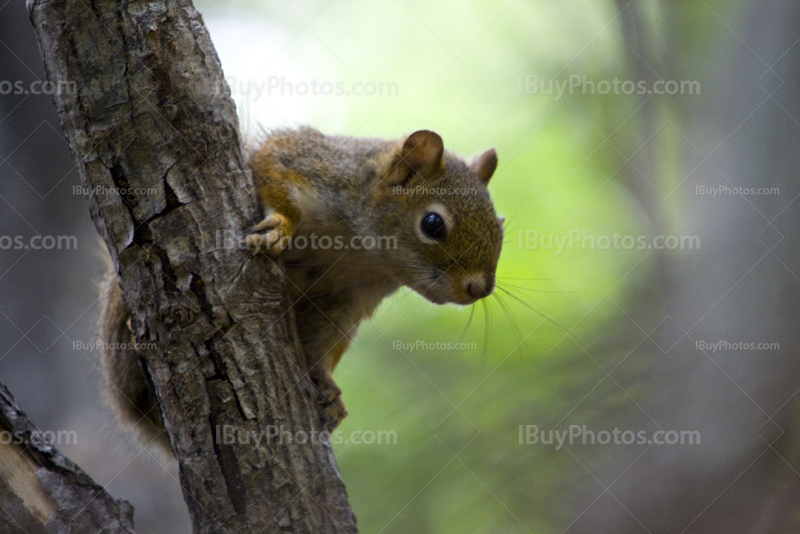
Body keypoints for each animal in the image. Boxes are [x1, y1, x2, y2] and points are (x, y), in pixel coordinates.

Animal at [98, 129, 500, 452]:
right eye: (433, 224)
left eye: (501, 225)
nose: (479, 289)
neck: (367, 254)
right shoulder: (310, 162)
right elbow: (272, 165)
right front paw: (281, 227)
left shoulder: (344, 301)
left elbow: (322, 341)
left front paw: (327, 389)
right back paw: (135, 333)